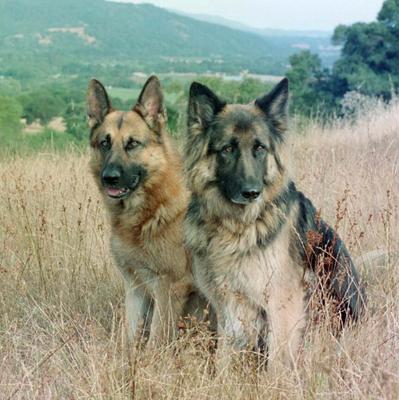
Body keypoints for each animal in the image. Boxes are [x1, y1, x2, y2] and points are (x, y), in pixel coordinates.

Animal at [87, 76, 200, 346]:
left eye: (133, 144)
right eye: (104, 143)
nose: (109, 178)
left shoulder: (169, 288)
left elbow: (155, 340)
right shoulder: (135, 287)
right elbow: (127, 337)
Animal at [184, 78, 366, 368]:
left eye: (259, 148)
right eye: (227, 149)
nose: (251, 193)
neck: (238, 227)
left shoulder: (283, 305)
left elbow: (277, 362)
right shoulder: (228, 304)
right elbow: (224, 356)